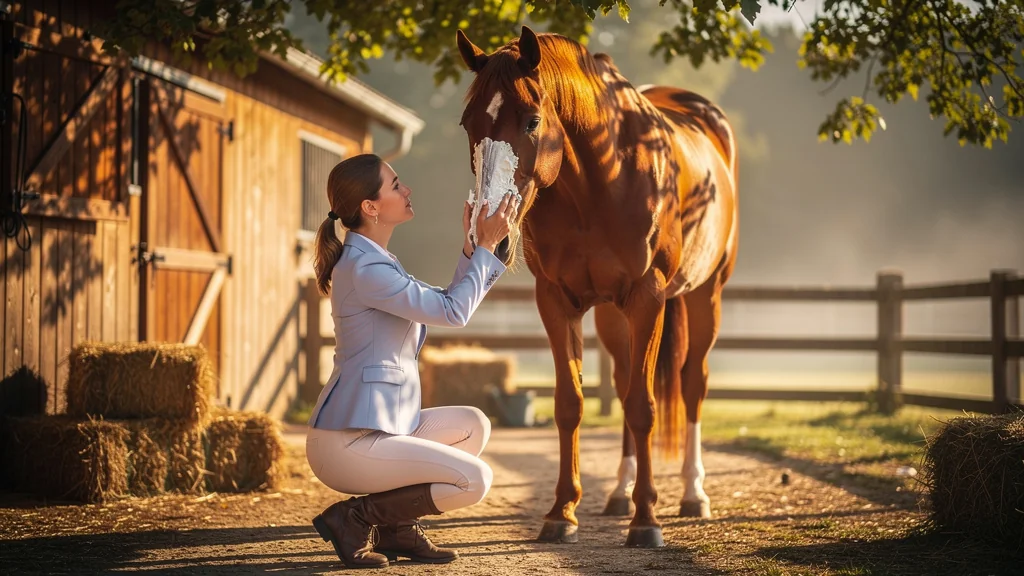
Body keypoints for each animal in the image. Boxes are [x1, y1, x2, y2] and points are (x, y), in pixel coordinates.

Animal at [456, 25, 739, 547]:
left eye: (532, 121)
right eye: (468, 124)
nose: (489, 237)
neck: (597, 183)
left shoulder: (648, 297)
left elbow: (644, 406)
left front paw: (646, 520)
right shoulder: (556, 301)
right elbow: (572, 403)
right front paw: (562, 512)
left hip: (704, 293)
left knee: (692, 383)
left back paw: (693, 493)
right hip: (612, 315)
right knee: (625, 381)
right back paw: (619, 493)